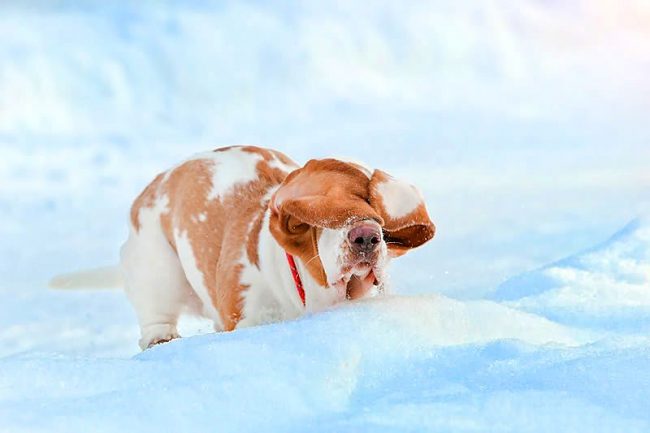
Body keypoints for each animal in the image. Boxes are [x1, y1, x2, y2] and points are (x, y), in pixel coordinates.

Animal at [121, 145, 436, 348]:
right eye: (326, 222)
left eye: (378, 217)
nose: (366, 237)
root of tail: (151, 187)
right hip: (158, 272)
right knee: (156, 318)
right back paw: (161, 340)